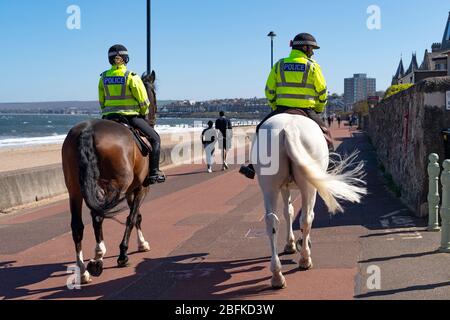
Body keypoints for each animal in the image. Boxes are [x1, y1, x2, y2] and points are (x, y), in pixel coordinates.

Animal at [61, 70, 156, 282]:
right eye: (153, 92)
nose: (153, 115)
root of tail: (87, 130)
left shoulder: (132, 190)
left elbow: (136, 216)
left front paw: (139, 244)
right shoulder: (140, 188)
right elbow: (133, 217)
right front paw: (125, 252)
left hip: (75, 190)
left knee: (78, 226)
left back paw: (83, 270)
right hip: (115, 186)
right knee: (98, 215)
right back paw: (98, 256)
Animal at [253, 113, 366, 290]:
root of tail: (289, 128)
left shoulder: (284, 186)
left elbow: (288, 212)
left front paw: (290, 244)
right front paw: (298, 244)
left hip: (269, 184)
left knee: (271, 221)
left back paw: (277, 274)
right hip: (309, 186)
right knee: (306, 218)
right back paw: (305, 259)